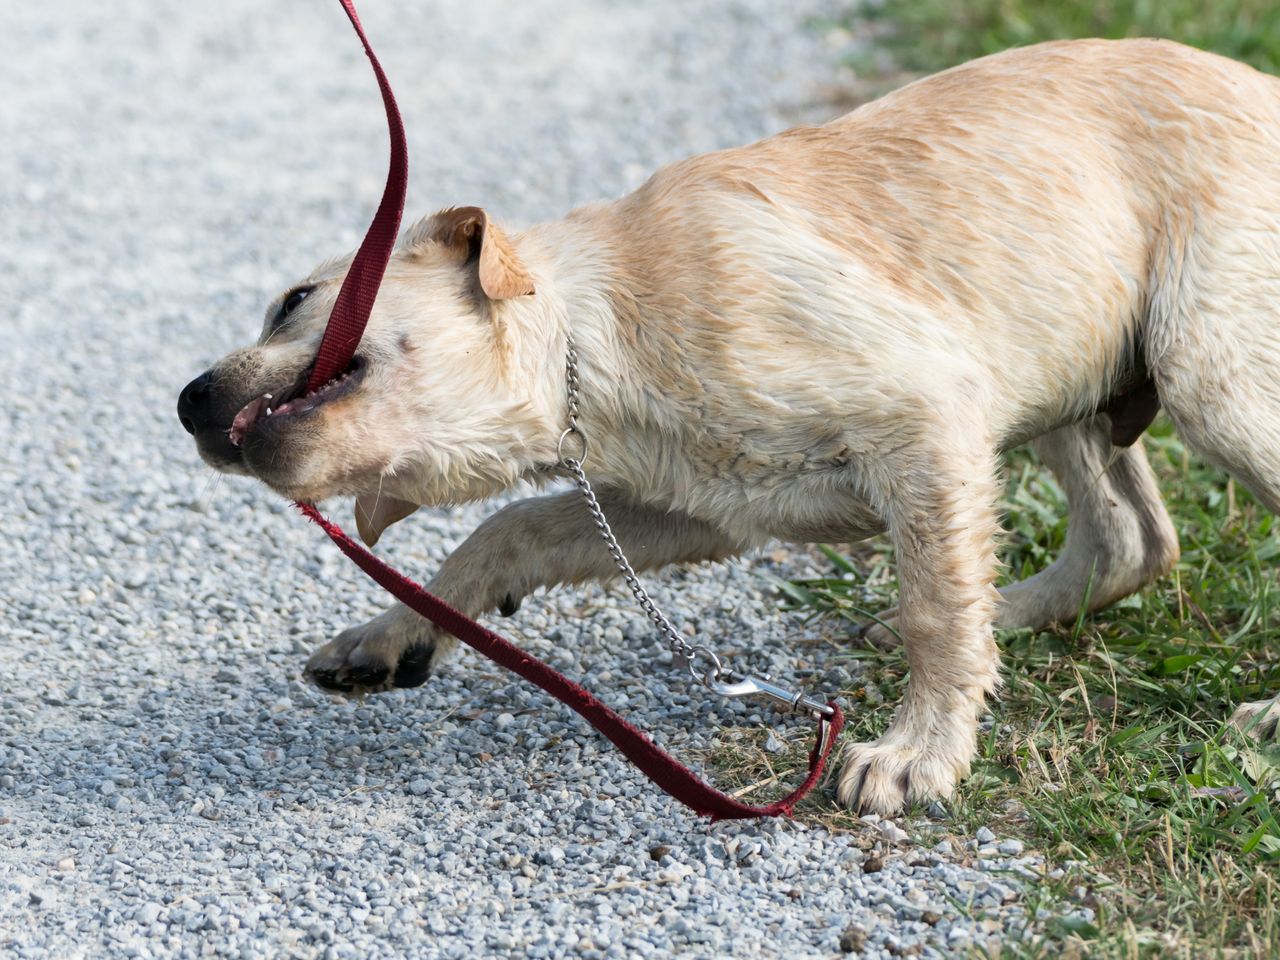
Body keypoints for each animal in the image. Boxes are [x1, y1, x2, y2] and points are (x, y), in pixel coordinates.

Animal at [177, 41, 1280, 814]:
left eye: (291, 301)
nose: (187, 402)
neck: (595, 334)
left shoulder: (924, 416)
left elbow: (937, 611)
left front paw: (918, 754)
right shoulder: (699, 511)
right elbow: (505, 529)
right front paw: (389, 635)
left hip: (1207, 377)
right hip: (1069, 373)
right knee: (1131, 539)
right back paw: (997, 614)